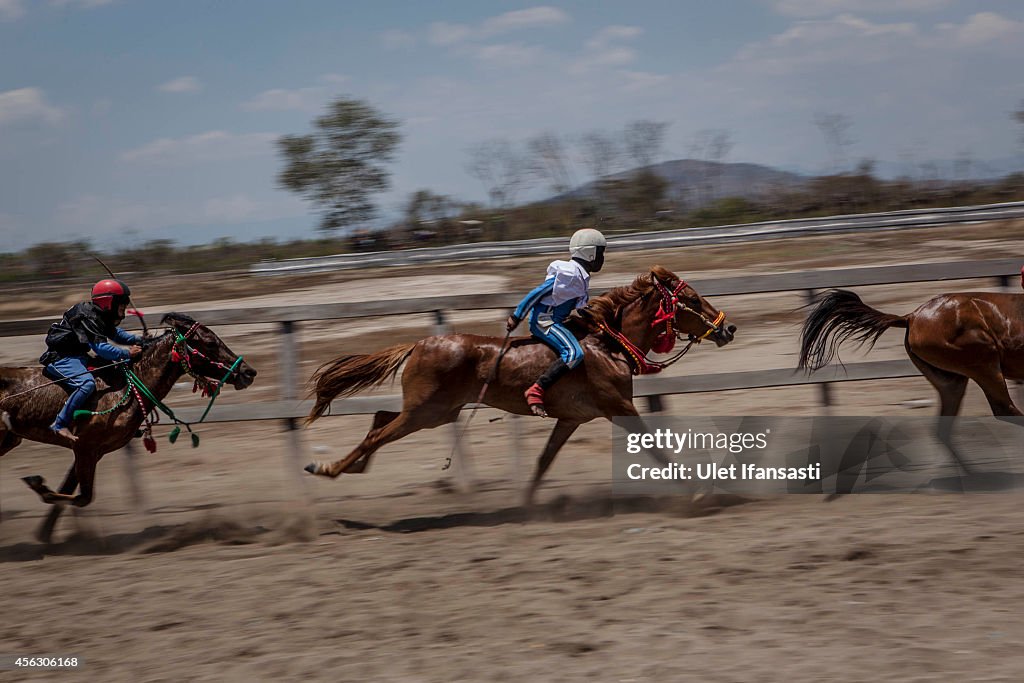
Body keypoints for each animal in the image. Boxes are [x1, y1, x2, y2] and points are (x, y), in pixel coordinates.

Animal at [0, 315, 256, 540]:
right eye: (210, 342)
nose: (248, 372)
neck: (122, 388)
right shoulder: (85, 447)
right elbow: (83, 496)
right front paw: (39, 487)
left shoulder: (92, 451)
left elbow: (70, 490)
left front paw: (45, 534)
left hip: (9, 439)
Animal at [303, 266, 737, 501]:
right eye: (692, 300)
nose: (728, 328)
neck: (607, 344)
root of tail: (418, 344)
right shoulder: (619, 408)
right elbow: (658, 450)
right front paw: (697, 490)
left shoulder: (572, 418)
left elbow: (544, 460)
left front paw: (528, 503)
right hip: (424, 413)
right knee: (378, 433)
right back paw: (327, 467)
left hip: (437, 412)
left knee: (378, 418)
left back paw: (347, 467)